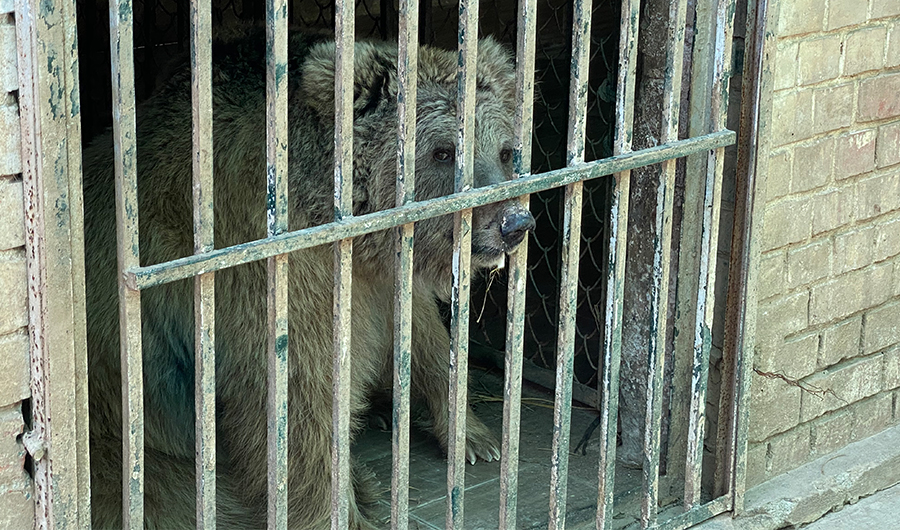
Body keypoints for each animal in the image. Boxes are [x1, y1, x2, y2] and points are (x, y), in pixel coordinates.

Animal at [82, 28, 534, 529]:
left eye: (504, 151)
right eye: (444, 152)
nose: (513, 223)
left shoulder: (382, 271)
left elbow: (421, 332)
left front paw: (474, 436)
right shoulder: (273, 274)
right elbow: (301, 398)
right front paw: (341, 507)